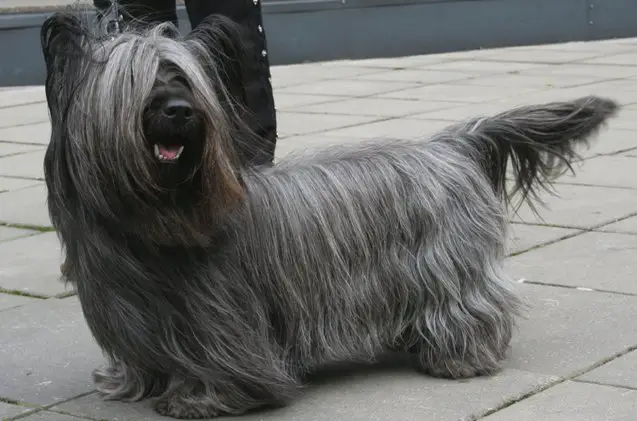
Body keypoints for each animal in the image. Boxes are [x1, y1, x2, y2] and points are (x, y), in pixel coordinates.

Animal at [39, 10, 616, 420]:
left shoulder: (223, 319)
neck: (151, 224)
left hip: (448, 267)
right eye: (135, 82)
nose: (181, 112)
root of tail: (449, 145)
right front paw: (131, 384)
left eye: (183, 79)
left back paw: (459, 358)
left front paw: (200, 399)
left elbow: (224, 364)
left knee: (469, 306)